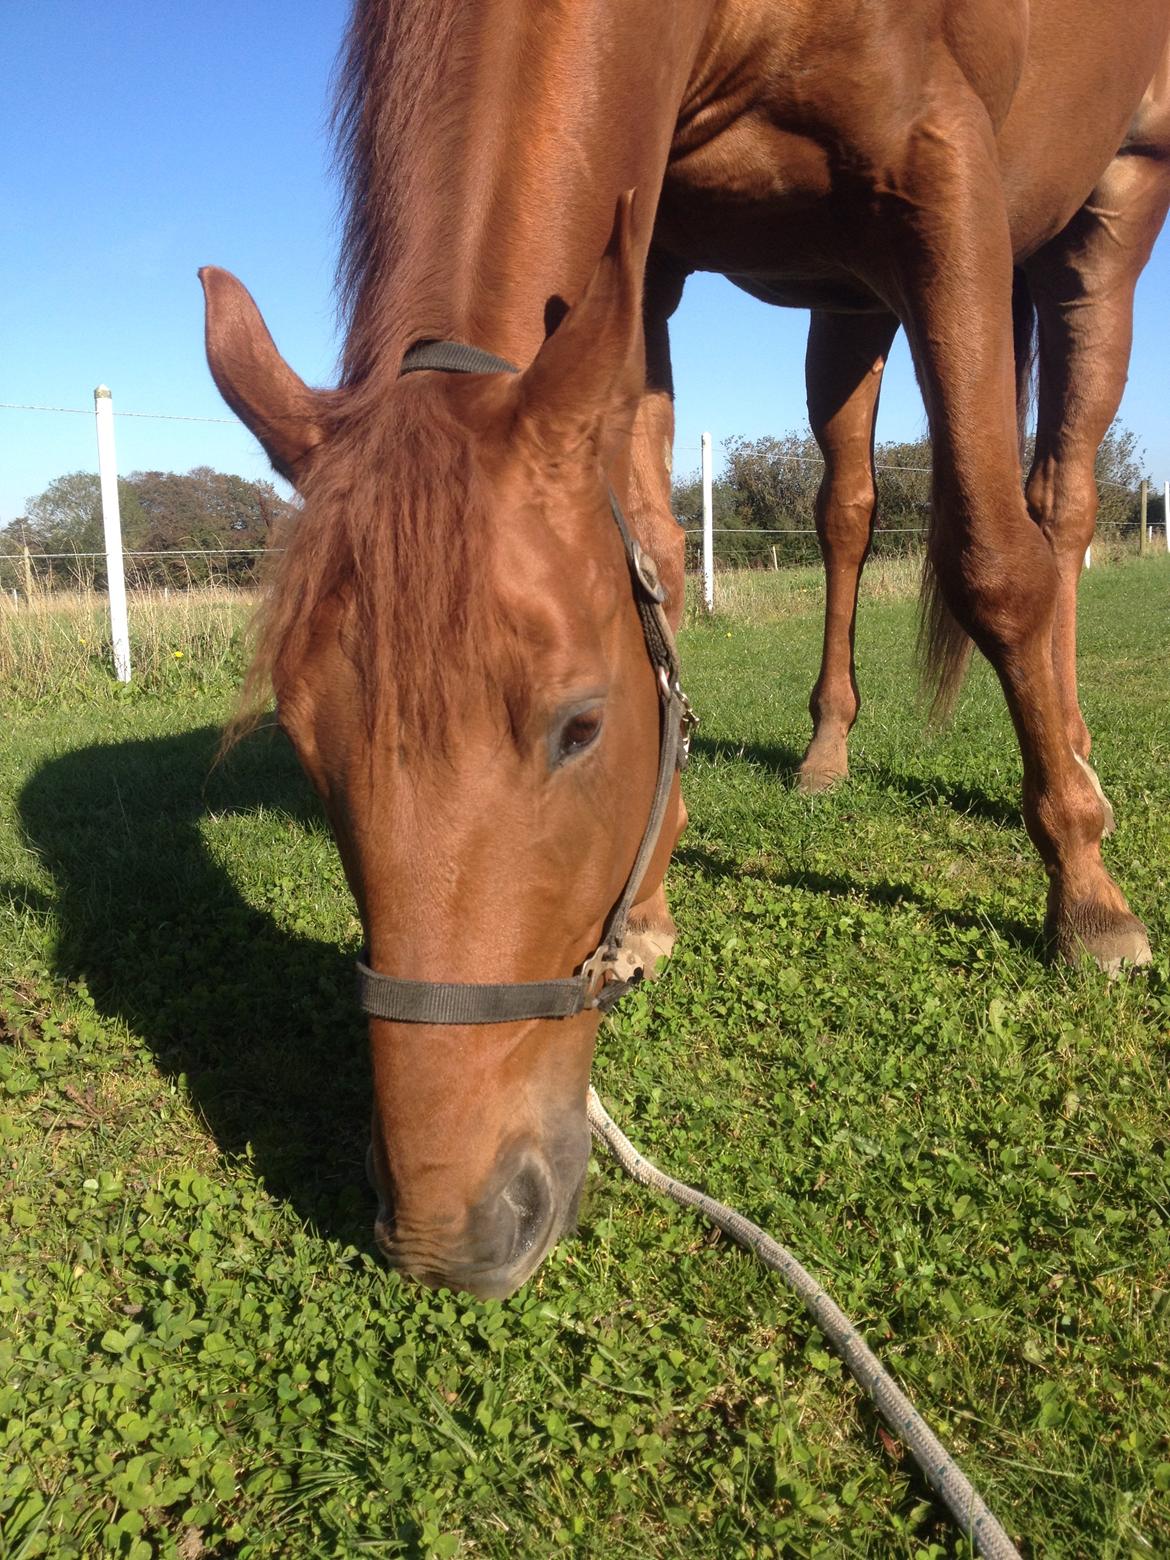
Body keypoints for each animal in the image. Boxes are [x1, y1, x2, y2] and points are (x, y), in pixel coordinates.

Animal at [201, 0, 1170, 1291]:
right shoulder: (651, 254)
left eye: (578, 727)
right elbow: (656, 545)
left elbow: (994, 561)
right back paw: (827, 751)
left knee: (1055, 506)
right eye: (306, 747)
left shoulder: (946, 171)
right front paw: (650, 900)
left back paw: (1078, 783)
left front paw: (1088, 897)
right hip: (847, 299)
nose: (451, 1234)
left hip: (1108, 212)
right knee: (848, 507)